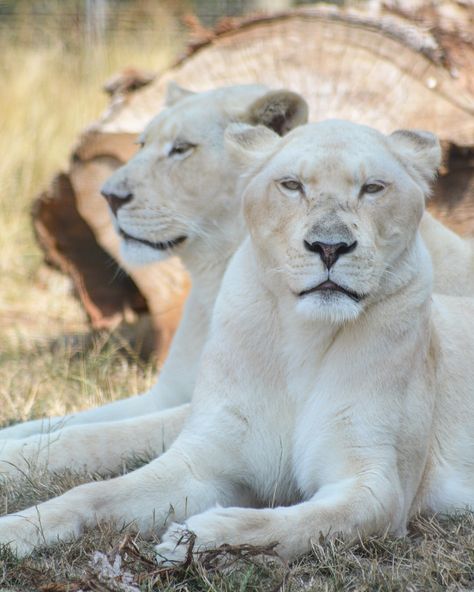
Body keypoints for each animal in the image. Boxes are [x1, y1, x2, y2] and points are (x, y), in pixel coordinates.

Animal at [0, 120, 474, 560]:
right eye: (292, 185)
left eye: (373, 187)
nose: (329, 247)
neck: (304, 336)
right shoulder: (201, 462)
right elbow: (92, 489)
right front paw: (16, 529)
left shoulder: (377, 485)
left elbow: (299, 523)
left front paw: (196, 536)